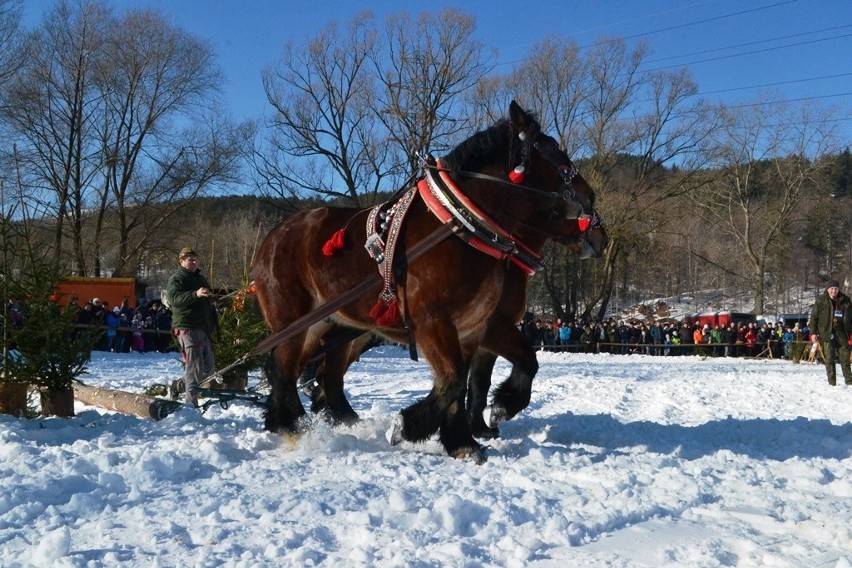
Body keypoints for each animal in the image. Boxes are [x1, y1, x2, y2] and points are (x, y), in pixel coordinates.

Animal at [255, 100, 600, 460]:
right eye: (556, 153)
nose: (590, 198)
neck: (461, 229)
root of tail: (273, 235)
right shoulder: (434, 323)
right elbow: (453, 380)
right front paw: (408, 427)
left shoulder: (473, 328)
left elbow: (484, 377)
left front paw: (469, 434)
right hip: (293, 321)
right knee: (286, 368)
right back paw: (293, 428)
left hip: (326, 325)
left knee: (315, 374)